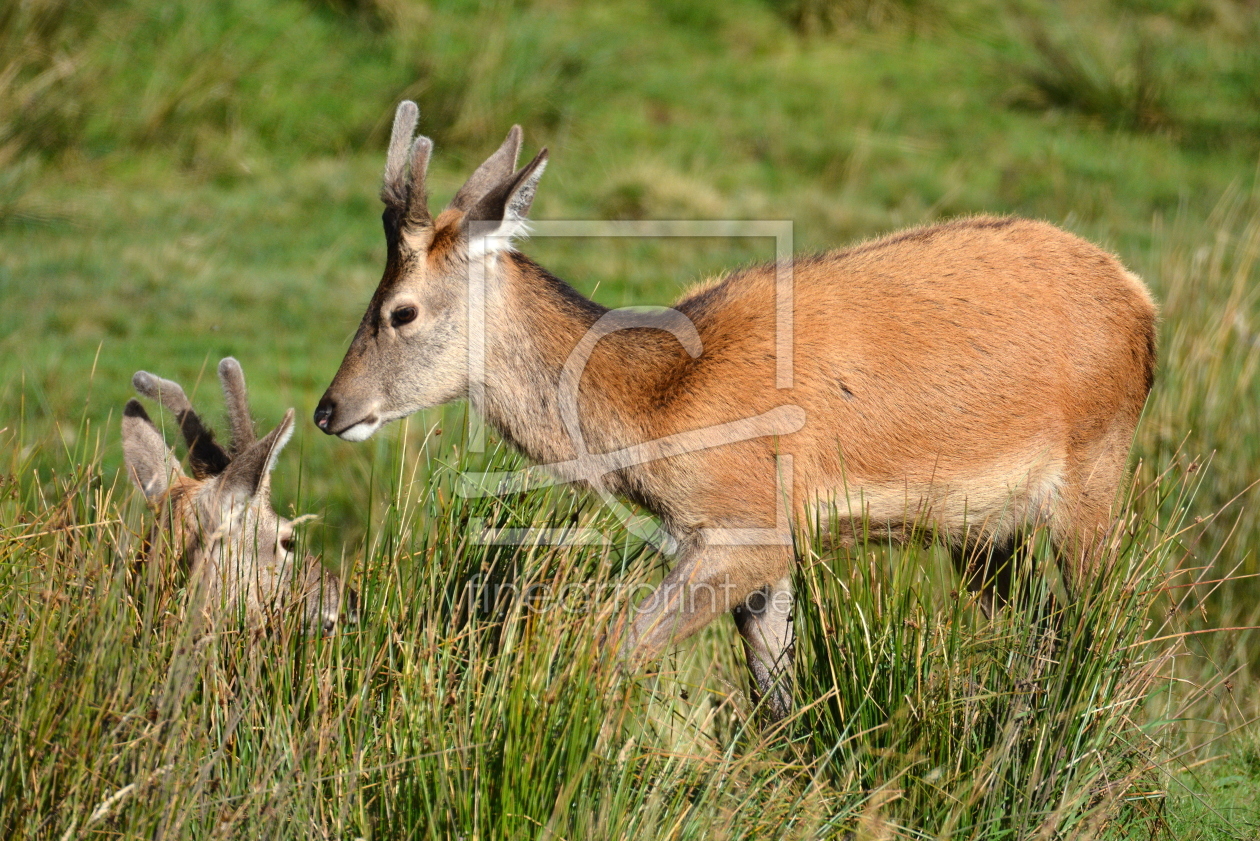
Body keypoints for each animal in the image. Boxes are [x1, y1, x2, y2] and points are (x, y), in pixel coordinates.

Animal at [312, 102, 1154, 721]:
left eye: (399, 311)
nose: (328, 409)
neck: (659, 405)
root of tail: (1141, 301)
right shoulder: (766, 544)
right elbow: (776, 692)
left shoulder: (748, 522)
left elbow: (613, 646)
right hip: (987, 532)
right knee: (1024, 627)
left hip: (1095, 469)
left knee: (1091, 624)